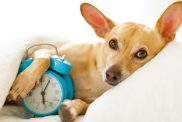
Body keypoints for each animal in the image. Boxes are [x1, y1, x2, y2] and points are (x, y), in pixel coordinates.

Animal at [7, 1, 181, 122]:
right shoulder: (44, 50)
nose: (111, 74)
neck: (96, 76)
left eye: (141, 54)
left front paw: (71, 107)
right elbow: (45, 58)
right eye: (112, 43)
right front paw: (22, 84)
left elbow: (84, 104)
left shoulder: (93, 101)